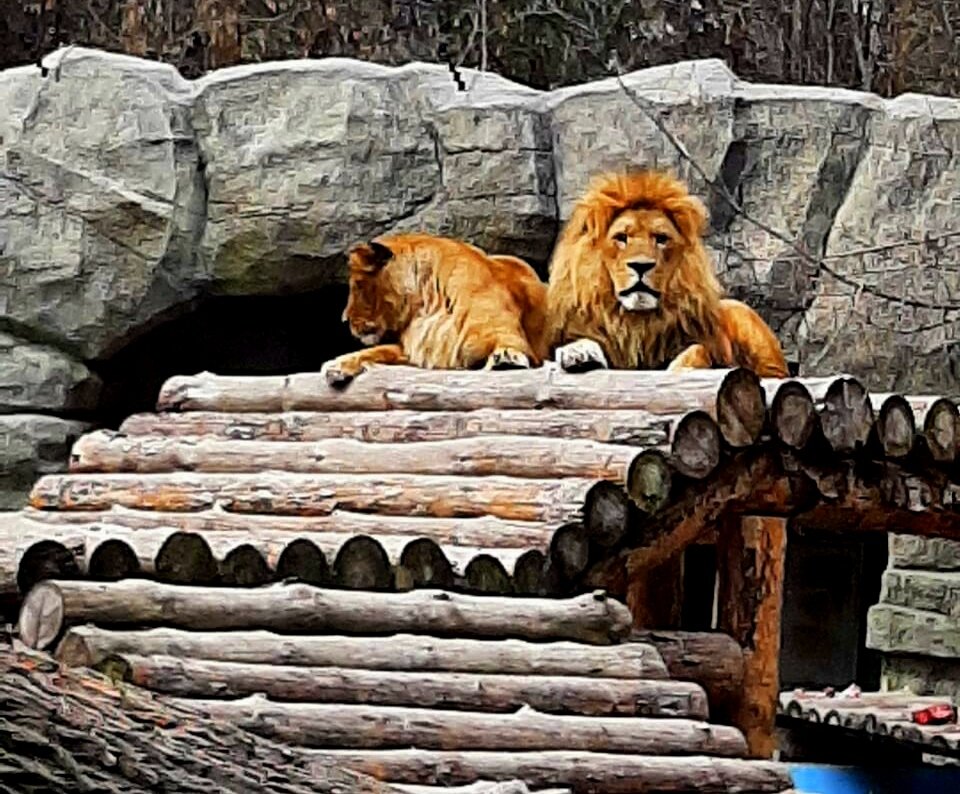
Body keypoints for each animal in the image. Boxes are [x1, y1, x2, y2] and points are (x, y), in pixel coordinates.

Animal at [322, 232, 548, 386]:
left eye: (358, 284)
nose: (343, 319)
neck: (429, 302)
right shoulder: (419, 350)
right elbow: (378, 350)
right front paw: (336, 365)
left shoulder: (509, 335)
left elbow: (510, 343)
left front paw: (507, 358)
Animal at [544, 168, 792, 378]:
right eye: (621, 238)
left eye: (661, 238)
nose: (641, 266)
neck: (637, 323)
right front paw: (579, 354)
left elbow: (697, 350)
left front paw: (681, 368)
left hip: (741, 313)